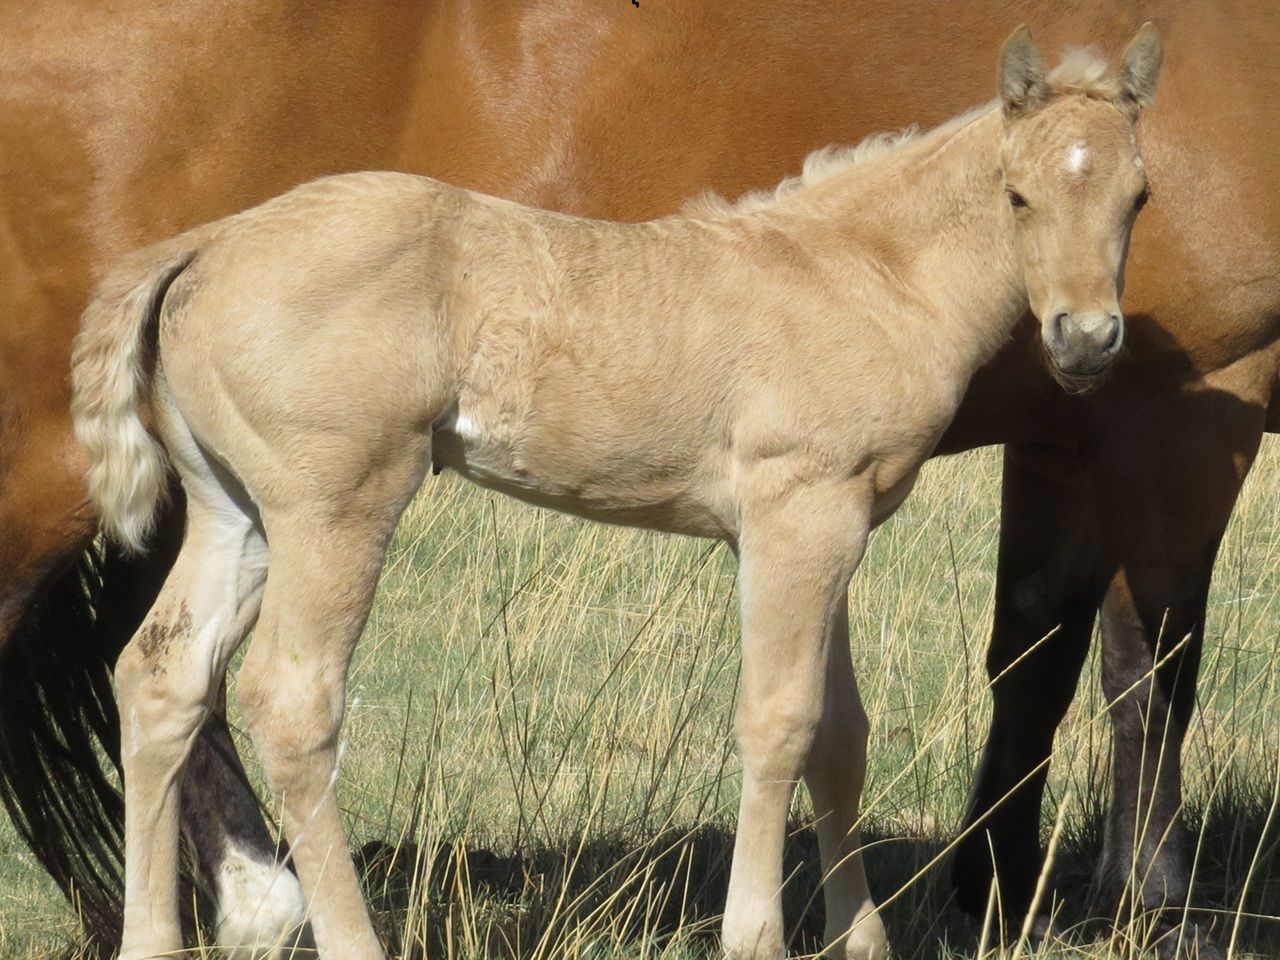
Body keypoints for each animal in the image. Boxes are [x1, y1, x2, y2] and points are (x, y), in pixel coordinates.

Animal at [1, 3, 1275, 958]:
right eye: (1016, 195)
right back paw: (341, 935)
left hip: (235, 511)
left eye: (1136, 196)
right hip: (334, 508)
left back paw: (161, 938)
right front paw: (757, 934)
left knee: (160, 679)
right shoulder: (799, 513)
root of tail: (200, 246)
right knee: (289, 699)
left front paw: (861, 937)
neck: (855, 271)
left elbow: (839, 732)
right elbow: (779, 720)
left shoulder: (823, 525)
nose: (1084, 344)